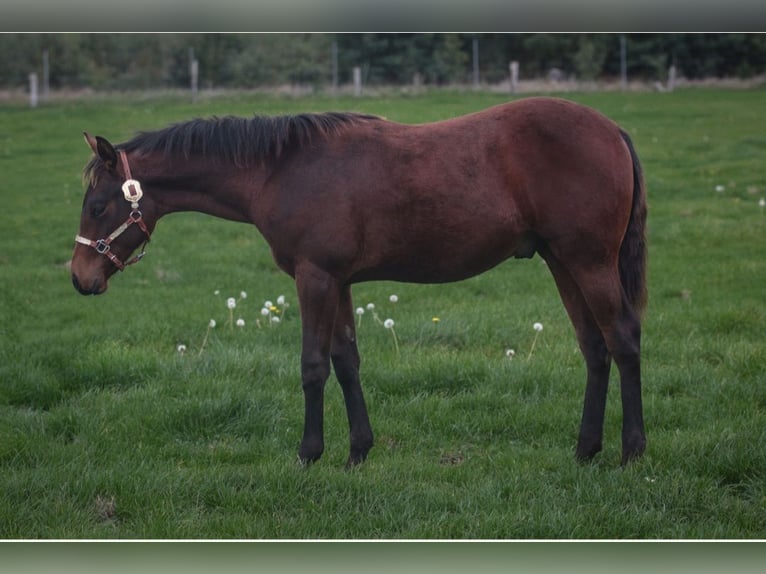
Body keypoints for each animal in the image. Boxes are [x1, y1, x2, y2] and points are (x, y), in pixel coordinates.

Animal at [71, 97, 647, 467]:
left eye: (97, 206)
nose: (80, 278)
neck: (280, 170)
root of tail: (614, 130)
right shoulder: (340, 281)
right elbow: (346, 361)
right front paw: (357, 451)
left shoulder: (315, 277)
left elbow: (312, 366)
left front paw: (308, 455)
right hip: (561, 262)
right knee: (594, 347)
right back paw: (585, 449)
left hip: (589, 262)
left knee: (623, 341)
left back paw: (632, 450)